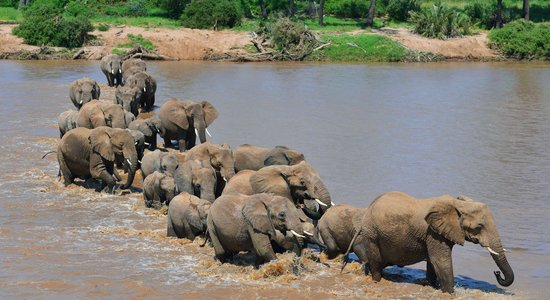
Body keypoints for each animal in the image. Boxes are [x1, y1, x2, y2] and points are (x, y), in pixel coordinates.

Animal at [350, 192, 516, 292]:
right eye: (479, 227)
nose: (496, 272)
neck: (457, 204)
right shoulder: (434, 232)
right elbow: (441, 261)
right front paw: (450, 293)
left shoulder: (435, 234)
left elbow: (433, 261)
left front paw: (430, 285)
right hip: (371, 233)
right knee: (376, 260)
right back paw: (377, 280)